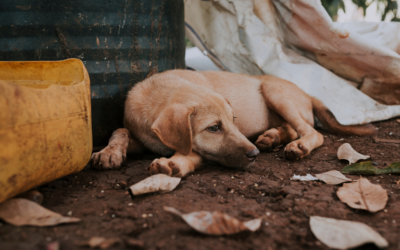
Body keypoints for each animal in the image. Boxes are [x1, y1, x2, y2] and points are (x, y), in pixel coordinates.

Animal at [90, 69, 376, 177]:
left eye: (233, 120)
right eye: (214, 128)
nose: (254, 154)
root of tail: (307, 94)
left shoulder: (199, 150)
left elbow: (189, 153)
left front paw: (173, 163)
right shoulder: (142, 136)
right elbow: (120, 129)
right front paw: (109, 152)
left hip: (275, 92)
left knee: (312, 132)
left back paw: (297, 145)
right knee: (293, 128)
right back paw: (272, 136)